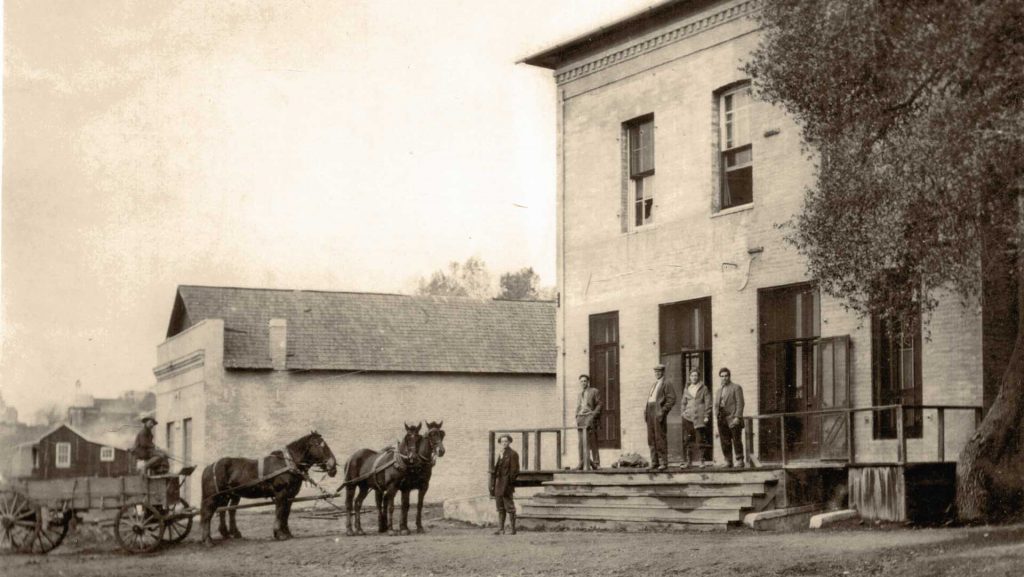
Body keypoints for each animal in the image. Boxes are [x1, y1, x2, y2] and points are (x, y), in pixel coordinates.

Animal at [200, 430, 339, 549]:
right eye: (319, 445)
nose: (333, 466)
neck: (287, 464)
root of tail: (210, 466)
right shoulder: (281, 493)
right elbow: (279, 512)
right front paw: (279, 534)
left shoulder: (290, 495)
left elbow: (286, 513)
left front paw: (287, 533)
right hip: (213, 497)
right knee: (208, 514)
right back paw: (208, 540)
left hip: (227, 495)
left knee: (224, 510)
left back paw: (227, 533)